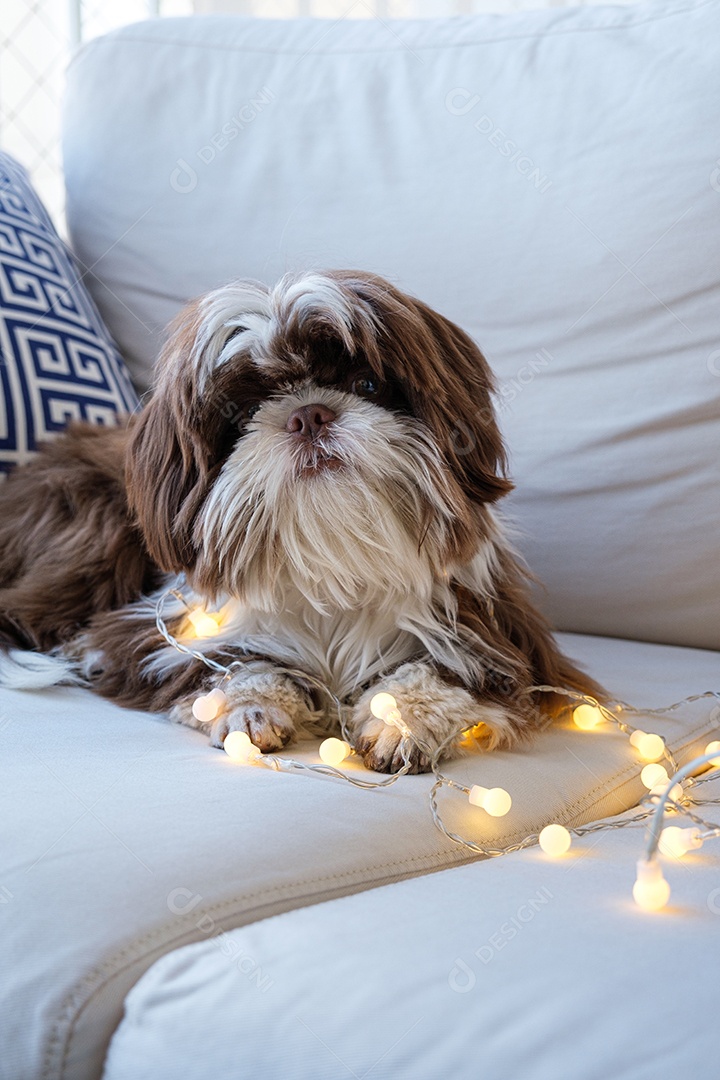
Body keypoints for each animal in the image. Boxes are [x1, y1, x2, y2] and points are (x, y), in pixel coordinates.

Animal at [0, 274, 600, 773]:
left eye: (368, 385)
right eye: (242, 414)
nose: (308, 414)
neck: (333, 559)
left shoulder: (494, 631)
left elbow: (448, 669)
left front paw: (399, 717)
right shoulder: (161, 630)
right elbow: (234, 663)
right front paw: (251, 707)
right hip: (95, 528)